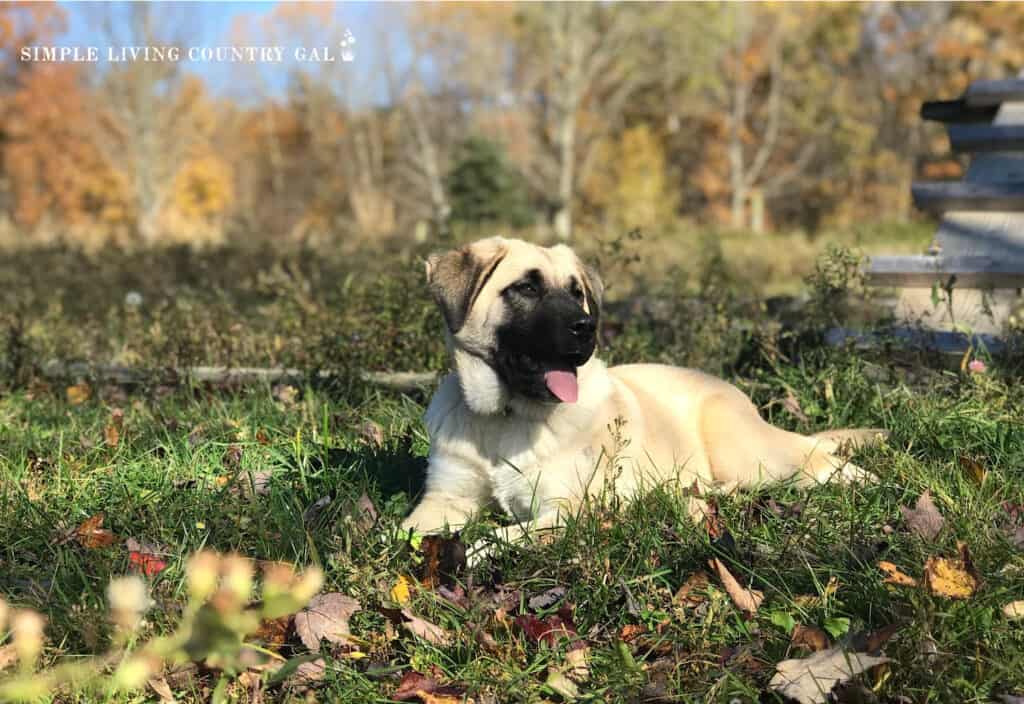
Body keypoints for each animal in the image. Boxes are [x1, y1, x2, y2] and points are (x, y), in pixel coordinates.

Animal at [403, 237, 884, 544]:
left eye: (577, 293)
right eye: (526, 287)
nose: (587, 329)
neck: (505, 418)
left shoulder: (567, 509)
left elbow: (497, 538)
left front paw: (470, 552)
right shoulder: (444, 499)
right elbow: (402, 531)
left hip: (751, 456)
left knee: (819, 461)